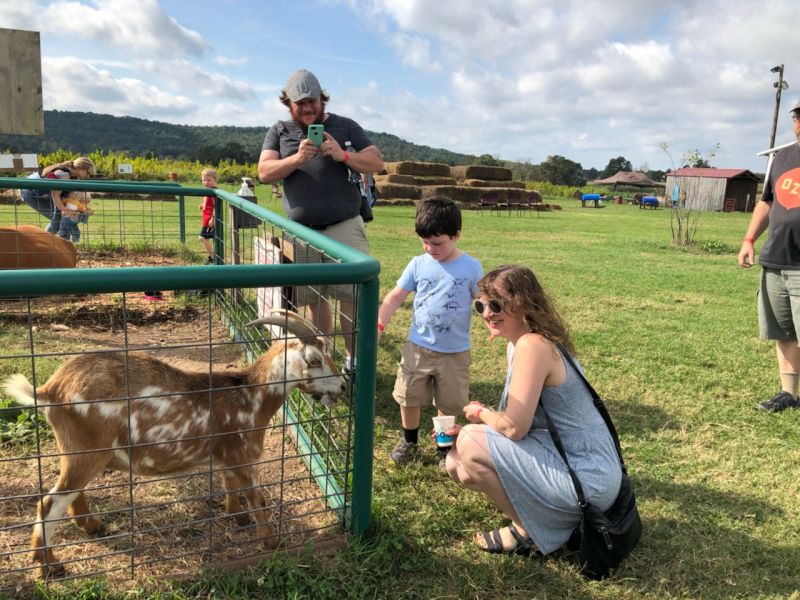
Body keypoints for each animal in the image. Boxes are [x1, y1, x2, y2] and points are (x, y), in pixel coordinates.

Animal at [3, 310, 346, 576]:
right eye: (315, 360)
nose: (343, 385)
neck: (250, 394)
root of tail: (51, 390)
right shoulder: (243, 453)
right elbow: (257, 497)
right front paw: (271, 543)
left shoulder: (226, 454)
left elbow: (229, 484)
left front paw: (237, 517)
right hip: (85, 450)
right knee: (49, 503)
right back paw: (48, 567)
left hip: (79, 453)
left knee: (70, 493)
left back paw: (91, 526)